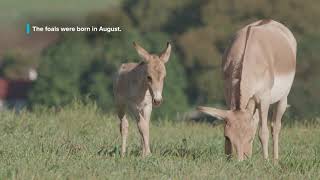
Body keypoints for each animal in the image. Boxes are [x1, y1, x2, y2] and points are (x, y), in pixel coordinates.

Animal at [198, 19, 298, 160]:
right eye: (227, 137)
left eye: (250, 138)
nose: (240, 161)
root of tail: (271, 21)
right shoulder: (229, 95)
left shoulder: (264, 99)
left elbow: (263, 132)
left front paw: (265, 160)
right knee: (257, 121)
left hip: (282, 98)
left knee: (275, 126)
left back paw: (275, 160)